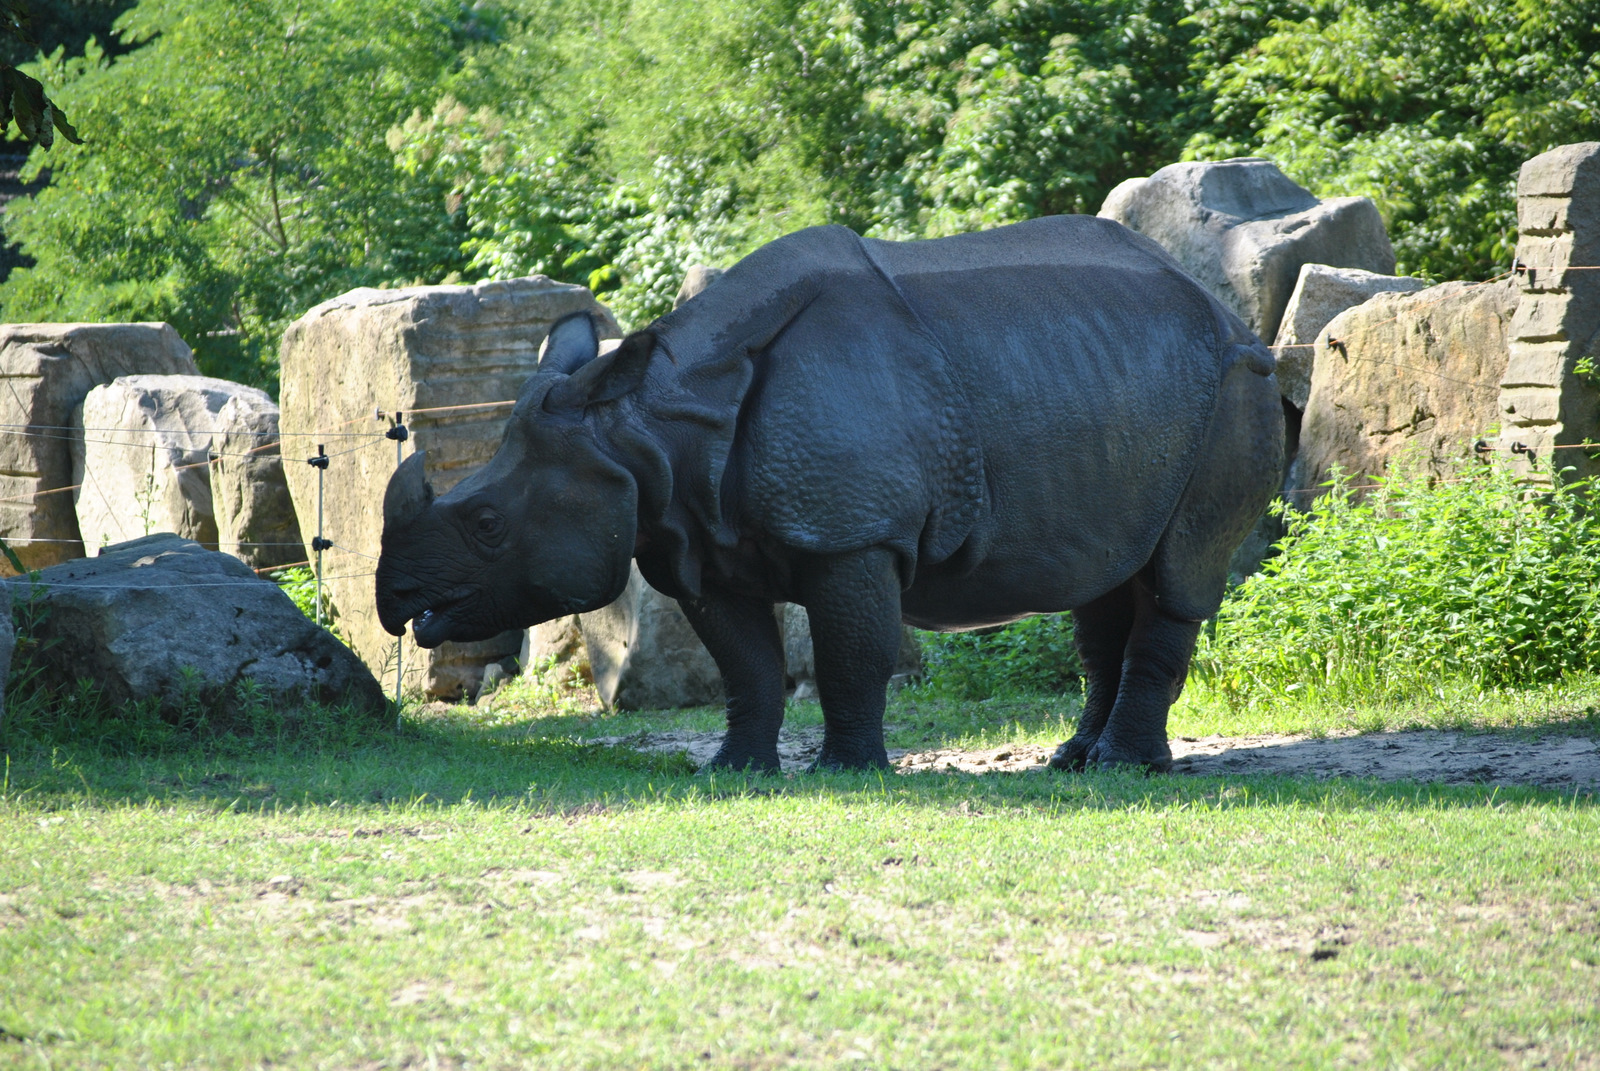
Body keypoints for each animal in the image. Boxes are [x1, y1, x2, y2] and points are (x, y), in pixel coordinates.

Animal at [376, 216, 1283, 772]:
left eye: (488, 522)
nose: (394, 602)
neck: (647, 426)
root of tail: (1229, 314)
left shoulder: (853, 533)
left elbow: (853, 651)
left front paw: (850, 770)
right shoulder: (693, 537)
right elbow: (746, 661)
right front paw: (734, 771)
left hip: (1235, 385)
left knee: (1178, 574)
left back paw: (1123, 766)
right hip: (1115, 384)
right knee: (1106, 579)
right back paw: (1075, 761)